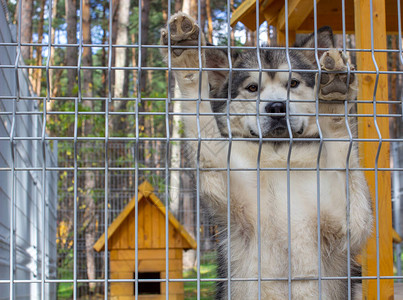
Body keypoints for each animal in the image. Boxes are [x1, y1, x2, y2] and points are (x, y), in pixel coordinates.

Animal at [160, 12, 372, 300]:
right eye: (252, 88)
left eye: (293, 83)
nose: (276, 107)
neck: (278, 154)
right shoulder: (219, 176)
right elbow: (200, 110)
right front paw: (188, 59)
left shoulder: (346, 222)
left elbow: (341, 149)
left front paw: (335, 101)